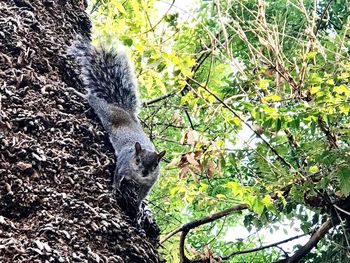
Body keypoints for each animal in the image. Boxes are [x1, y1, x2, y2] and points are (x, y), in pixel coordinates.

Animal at [69, 38, 167, 207]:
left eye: (155, 165)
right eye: (137, 160)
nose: (144, 173)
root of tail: (122, 109)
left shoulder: (149, 183)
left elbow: (142, 196)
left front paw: (138, 207)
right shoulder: (122, 163)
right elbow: (116, 176)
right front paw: (115, 188)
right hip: (106, 111)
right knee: (93, 99)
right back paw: (78, 93)